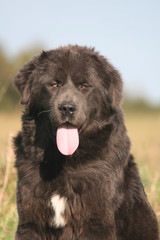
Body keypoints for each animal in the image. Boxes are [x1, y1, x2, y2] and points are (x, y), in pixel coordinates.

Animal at [13, 44, 159, 238]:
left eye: (84, 86)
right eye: (54, 84)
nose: (67, 108)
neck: (64, 162)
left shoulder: (95, 222)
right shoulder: (31, 222)